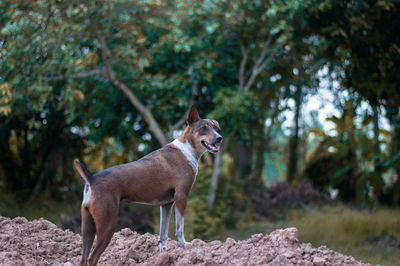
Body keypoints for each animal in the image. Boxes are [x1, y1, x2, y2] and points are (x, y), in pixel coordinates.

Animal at [72, 105, 222, 264]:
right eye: (203, 128)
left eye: (215, 127)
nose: (219, 138)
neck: (186, 149)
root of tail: (91, 179)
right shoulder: (181, 197)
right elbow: (179, 227)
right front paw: (184, 246)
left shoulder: (166, 204)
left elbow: (163, 234)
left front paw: (164, 255)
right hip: (108, 224)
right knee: (93, 257)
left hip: (87, 227)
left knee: (84, 258)